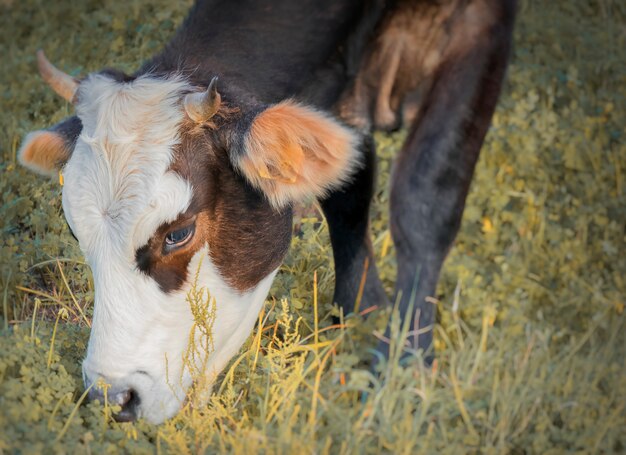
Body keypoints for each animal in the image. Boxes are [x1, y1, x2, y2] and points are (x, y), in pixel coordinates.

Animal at [17, 0, 516, 424]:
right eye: (76, 233)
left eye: (178, 233)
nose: (112, 395)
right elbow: (348, 186)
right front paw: (361, 311)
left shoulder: (481, 27)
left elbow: (426, 193)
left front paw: (405, 367)